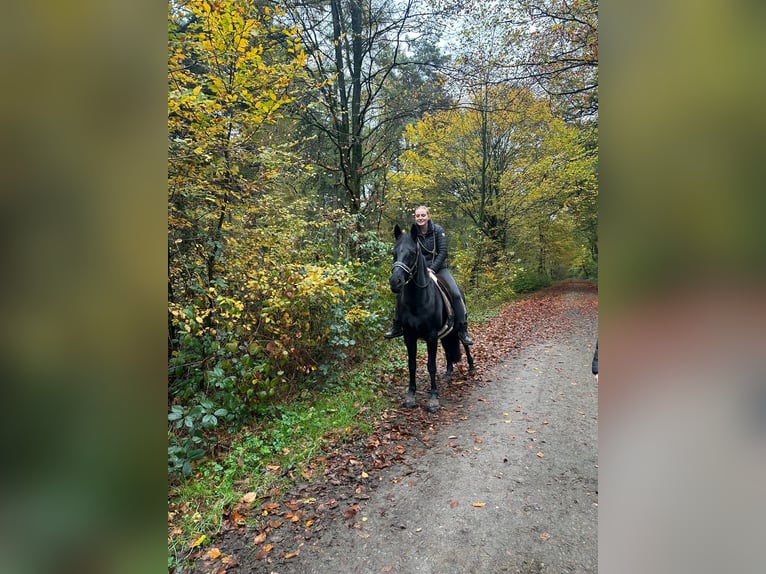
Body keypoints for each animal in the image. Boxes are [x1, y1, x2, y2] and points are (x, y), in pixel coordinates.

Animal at [390, 225, 474, 414]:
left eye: (412, 253)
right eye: (394, 252)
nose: (394, 282)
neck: (418, 300)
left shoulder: (431, 335)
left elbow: (431, 365)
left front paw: (433, 399)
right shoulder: (409, 336)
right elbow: (412, 364)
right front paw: (410, 395)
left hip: (457, 328)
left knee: (465, 344)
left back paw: (472, 368)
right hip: (445, 333)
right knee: (448, 349)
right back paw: (449, 372)